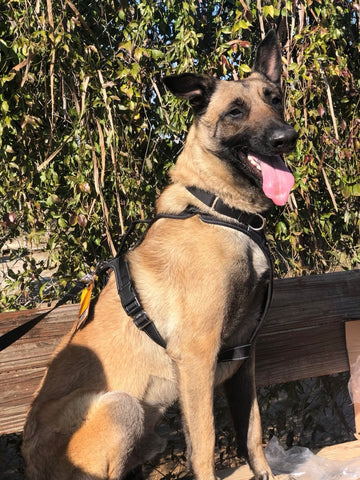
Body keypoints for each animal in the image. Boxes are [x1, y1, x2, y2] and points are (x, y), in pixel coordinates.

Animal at [23, 30, 298, 480]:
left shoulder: (244, 355)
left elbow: (252, 430)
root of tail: (29, 463)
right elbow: (204, 443)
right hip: (122, 407)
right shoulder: (197, 354)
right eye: (235, 111)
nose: (286, 138)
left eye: (274, 99)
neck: (219, 210)